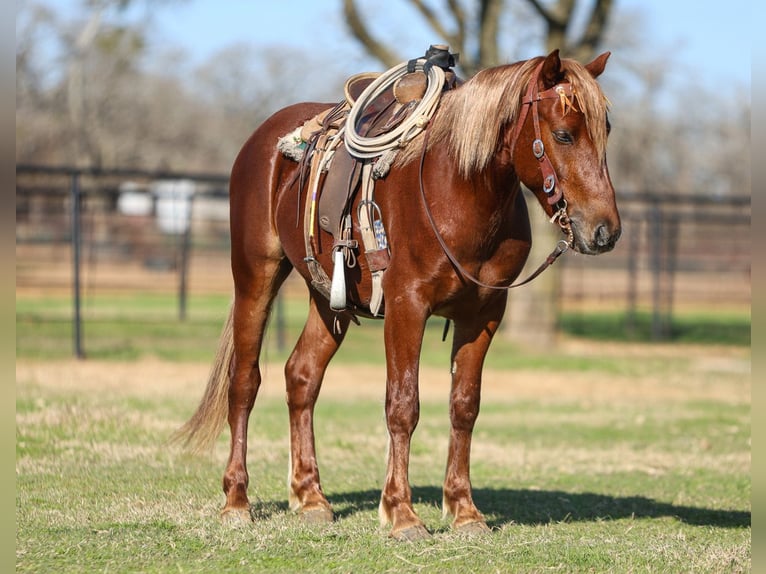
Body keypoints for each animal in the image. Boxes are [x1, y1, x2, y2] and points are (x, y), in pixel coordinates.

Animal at [178, 48, 624, 540]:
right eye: (563, 134)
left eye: (606, 131)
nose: (604, 231)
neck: (459, 190)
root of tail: (263, 139)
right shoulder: (407, 307)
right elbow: (403, 405)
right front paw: (402, 513)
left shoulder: (484, 313)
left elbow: (464, 406)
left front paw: (464, 511)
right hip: (255, 276)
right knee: (244, 382)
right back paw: (236, 501)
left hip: (328, 299)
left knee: (302, 376)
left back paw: (311, 498)